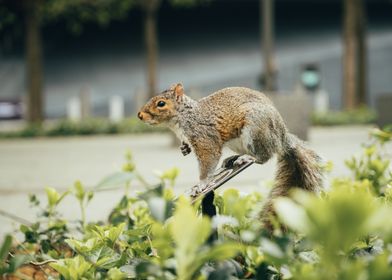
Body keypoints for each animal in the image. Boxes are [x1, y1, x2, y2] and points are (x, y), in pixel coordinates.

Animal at [137, 83, 322, 228]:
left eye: (161, 103)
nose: (139, 115)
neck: (184, 117)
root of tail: (281, 138)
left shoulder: (205, 139)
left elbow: (208, 161)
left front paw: (200, 184)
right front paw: (184, 149)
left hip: (255, 129)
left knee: (264, 156)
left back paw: (249, 158)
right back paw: (232, 159)